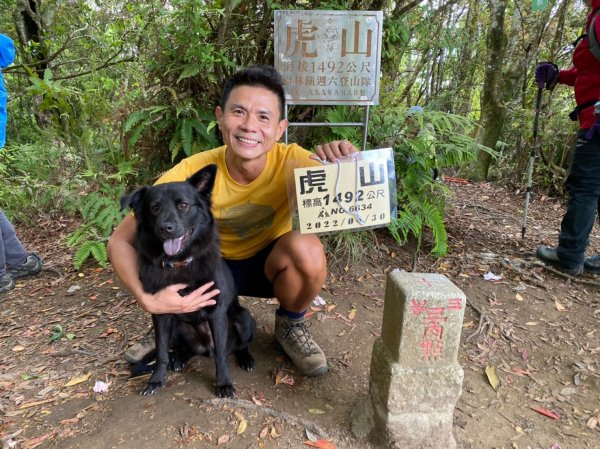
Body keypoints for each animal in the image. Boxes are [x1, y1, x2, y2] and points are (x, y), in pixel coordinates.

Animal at [120, 164, 254, 396]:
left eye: (183, 205)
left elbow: (221, 355)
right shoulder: (161, 314)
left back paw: (245, 358)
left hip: (244, 318)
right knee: (186, 350)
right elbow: (162, 353)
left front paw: (224, 383)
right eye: (154, 207)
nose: (166, 228)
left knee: (235, 347)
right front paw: (156, 380)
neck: (180, 263)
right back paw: (181, 358)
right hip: (177, 327)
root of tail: (206, 348)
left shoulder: (216, 311)